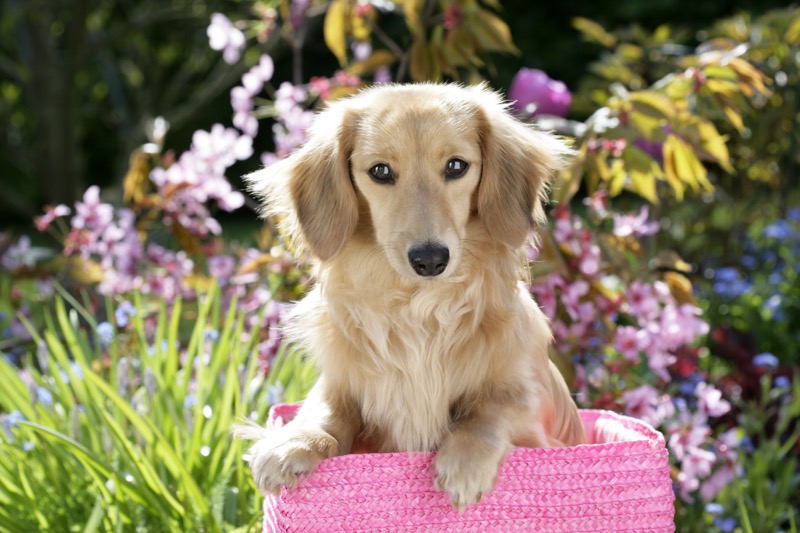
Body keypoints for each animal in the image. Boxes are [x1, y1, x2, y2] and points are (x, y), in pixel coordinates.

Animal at [236, 82, 580, 508]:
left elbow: (492, 410)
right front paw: (293, 443)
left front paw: (464, 461)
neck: (421, 309)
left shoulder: (531, 405)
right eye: (380, 171)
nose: (430, 259)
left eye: (456, 166)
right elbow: (325, 411)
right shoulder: (340, 384)